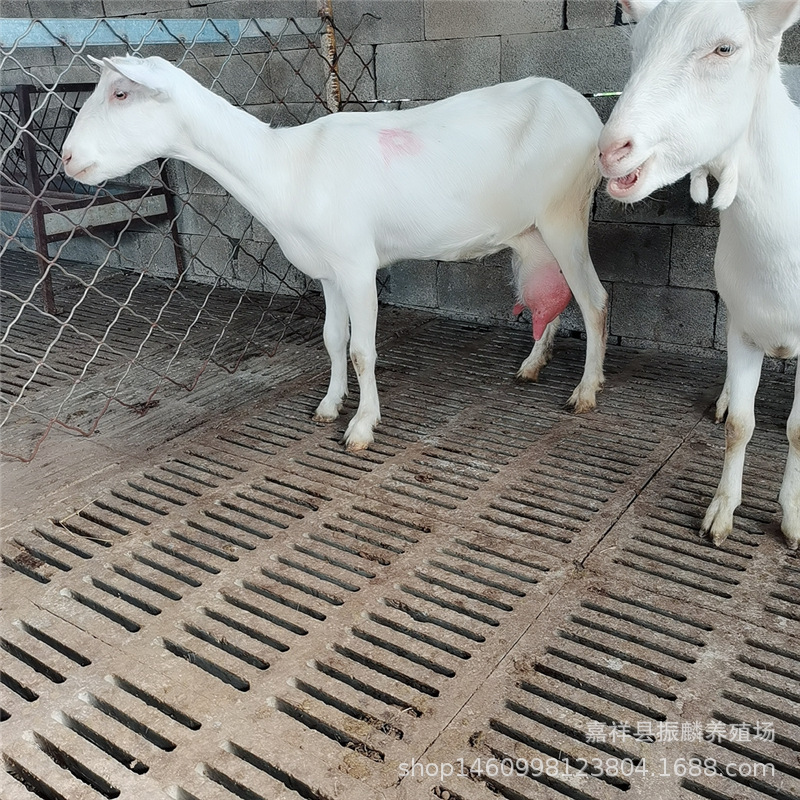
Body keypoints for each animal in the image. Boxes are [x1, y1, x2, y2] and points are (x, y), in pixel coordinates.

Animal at [62, 55, 608, 451]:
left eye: (120, 93)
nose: (68, 157)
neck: (284, 165)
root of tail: (582, 108)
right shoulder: (327, 271)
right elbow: (331, 339)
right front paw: (329, 405)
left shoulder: (356, 264)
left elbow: (362, 350)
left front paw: (362, 426)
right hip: (532, 229)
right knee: (554, 293)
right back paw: (533, 364)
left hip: (564, 212)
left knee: (594, 300)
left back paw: (585, 392)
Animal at [598, 0, 800, 549]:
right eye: (635, 46)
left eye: (725, 48)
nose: (611, 149)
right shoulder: (745, 327)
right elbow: (742, 428)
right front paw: (721, 513)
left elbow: (798, 431)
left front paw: (792, 518)